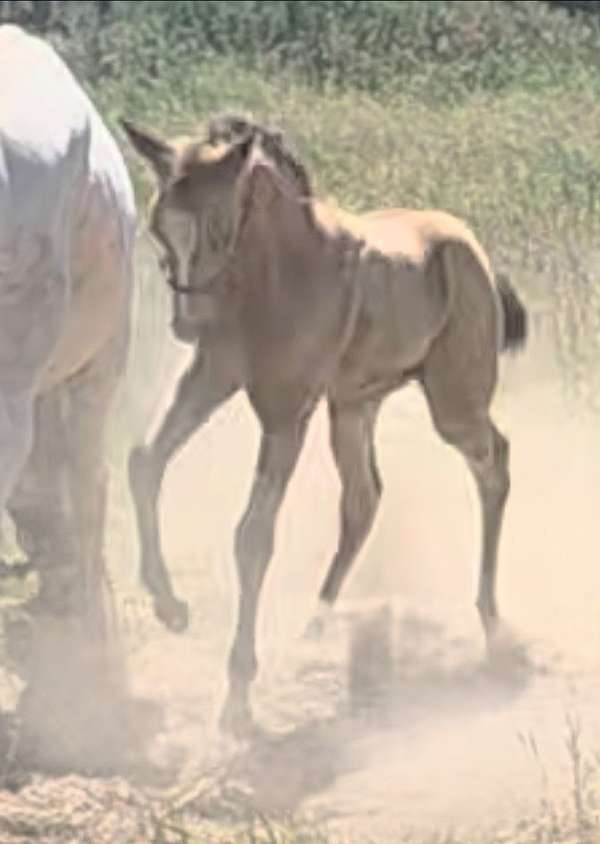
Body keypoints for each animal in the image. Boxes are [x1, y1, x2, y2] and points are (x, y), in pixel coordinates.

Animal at [122, 113, 528, 737]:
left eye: (220, 225)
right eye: (158, 225)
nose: (187, 324)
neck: (277, 274)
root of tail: (471, 246)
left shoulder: (287, 410)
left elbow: (253, 536)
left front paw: (237, 698)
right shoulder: (210, 377)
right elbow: (145, 461)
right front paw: (170, 607)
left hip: (454, 403)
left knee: (494, 463)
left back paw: (491, 621)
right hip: (353, 407)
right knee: (363, 497)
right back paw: (316, 626)